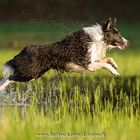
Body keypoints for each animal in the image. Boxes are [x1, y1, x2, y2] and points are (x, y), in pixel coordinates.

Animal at [0, 17, 128, 91]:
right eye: (116, 34)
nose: (127, 42)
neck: (98, 39)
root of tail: (24, 50)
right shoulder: (88, 65)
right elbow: (105, 64)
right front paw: (115, 72)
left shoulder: (93, 60)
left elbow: (107, 58)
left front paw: (115, 65)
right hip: (29, 73)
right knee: (9, 77)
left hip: (33, 74)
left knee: (7, 78)